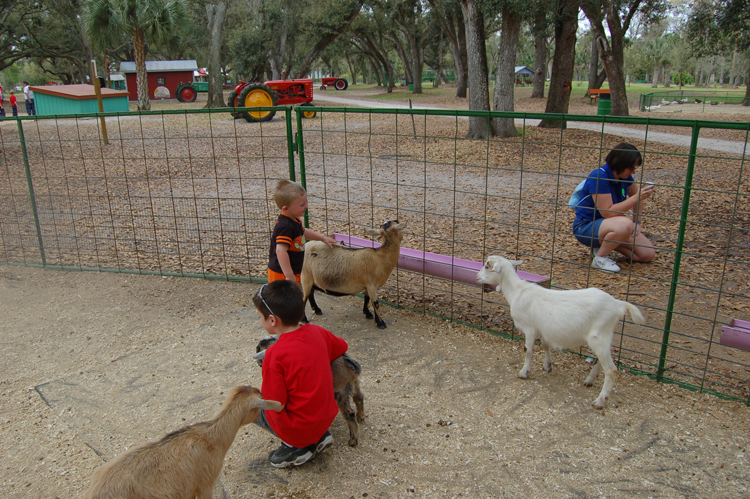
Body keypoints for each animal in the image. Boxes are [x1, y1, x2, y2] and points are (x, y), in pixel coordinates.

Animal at [476, 258, 648, 410]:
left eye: (487, 266)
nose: (477, 277)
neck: (517, 291)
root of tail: (619, 305)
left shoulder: (529, 328)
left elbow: (528, 350)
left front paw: (524, 372)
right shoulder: (542, 328)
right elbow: (545, 345)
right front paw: (548, 365)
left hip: (598, 336)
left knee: (611, 369)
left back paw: (600, 401)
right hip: (604, 335)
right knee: (604, 360)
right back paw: (590, 380)